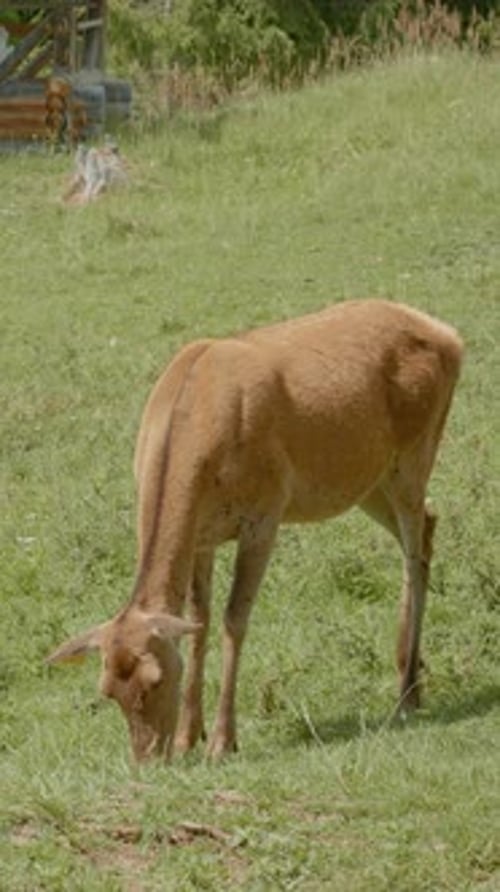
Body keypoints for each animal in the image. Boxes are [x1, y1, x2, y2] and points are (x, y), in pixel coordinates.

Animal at [47, 300, 463, 762]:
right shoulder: (203, 536)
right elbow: (199, 619)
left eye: (155, 679)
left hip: (415, 453)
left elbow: (234, 619)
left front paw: (222, 741)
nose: (149, 758)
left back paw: (405, 695)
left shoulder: (266, 513)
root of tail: (447, 333)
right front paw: (189, 736)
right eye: (107, 690)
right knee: (428, 524)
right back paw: (413, 683)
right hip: (368, 481)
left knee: (414, 549)